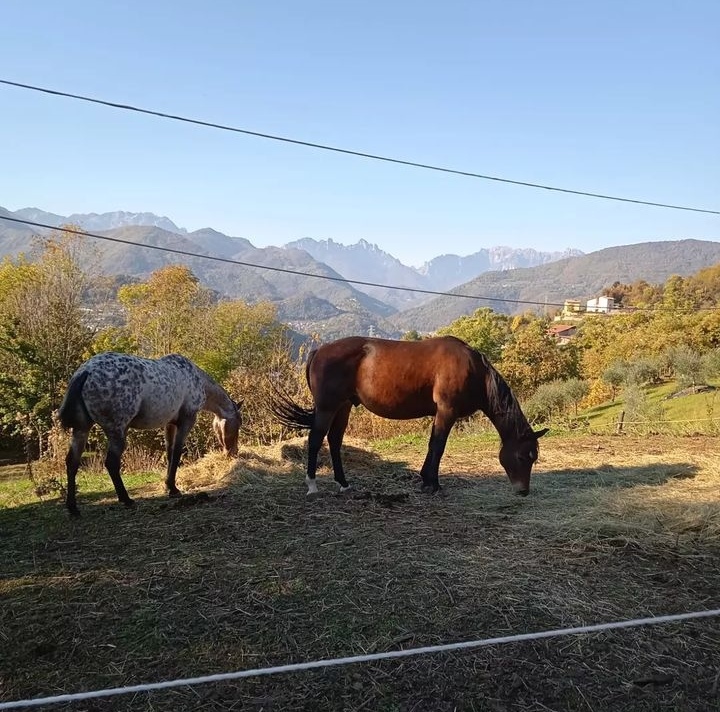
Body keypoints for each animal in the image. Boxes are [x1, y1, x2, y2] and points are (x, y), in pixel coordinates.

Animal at [58, 352, 242, 517]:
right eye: (238, 424)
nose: (233, 452)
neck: (196, 379)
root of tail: (85, 372)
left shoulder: (170, 423)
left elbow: (169, 453)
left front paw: (169, 486)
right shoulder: (187, 420)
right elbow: (177, 453)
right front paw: (173, 488)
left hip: (81, 429)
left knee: (72, 462)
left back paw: (73, 508)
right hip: (117, 431)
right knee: (111, 463)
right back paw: (126, 499)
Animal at [270, 335, 547, 497]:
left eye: (533, 458)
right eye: (523, 456)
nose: (523, 491)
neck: (474, 371)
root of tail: (319, 350)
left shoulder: (440, 413)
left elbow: (432, 445)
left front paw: (425, 479)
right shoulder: (447, 411)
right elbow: (438, 446)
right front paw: (433, 484)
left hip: (344, 406)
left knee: (335, 441)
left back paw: (344, 483)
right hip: (327, 407)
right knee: (316, 440)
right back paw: (312, 486)